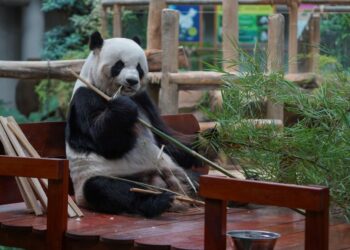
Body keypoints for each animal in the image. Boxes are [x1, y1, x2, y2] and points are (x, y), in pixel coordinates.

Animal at [65, 32, 202, 218]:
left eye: (139, 67)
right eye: (119, 65)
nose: (131, 81)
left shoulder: (143, 100)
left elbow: (165, 137)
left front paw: (208, 144)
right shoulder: (85, 97)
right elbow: (103, 141)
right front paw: (124, 107)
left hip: (176, 171)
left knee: (196, 179)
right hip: (101, 179)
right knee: (107, 189)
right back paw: (158, 201)